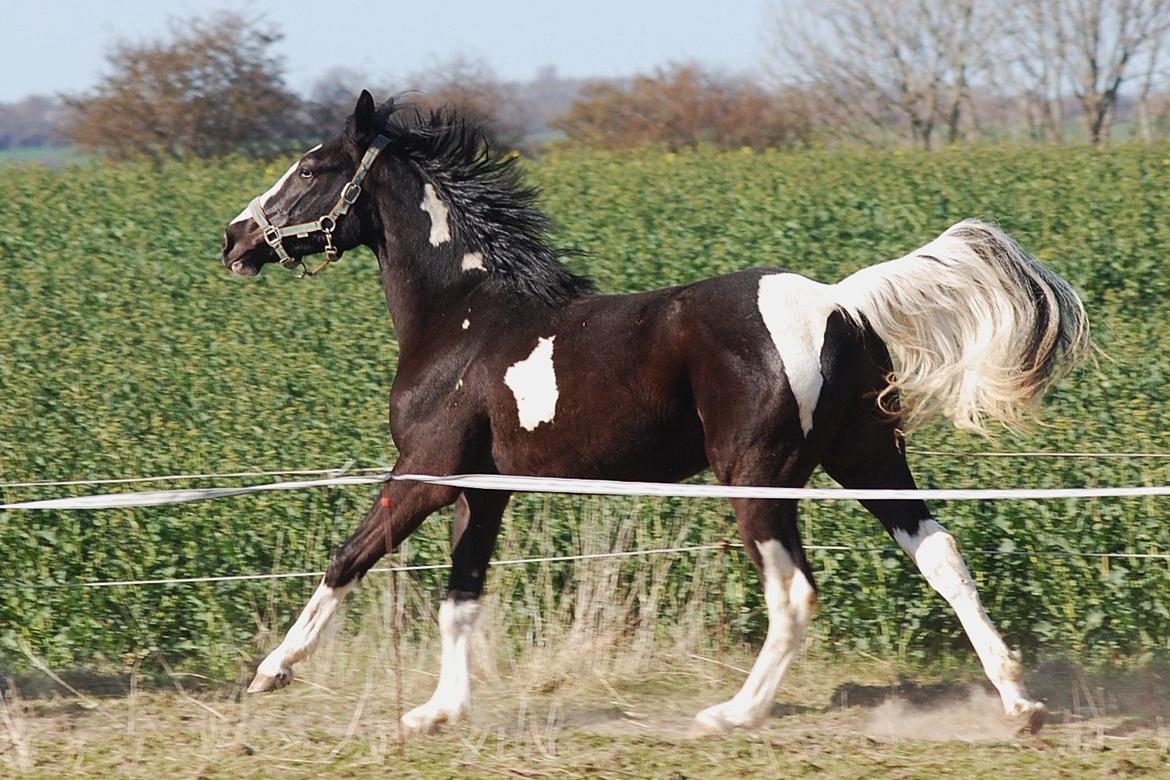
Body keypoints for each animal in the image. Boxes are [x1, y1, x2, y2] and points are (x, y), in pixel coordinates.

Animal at [217, 91, 1085, 739]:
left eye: (311, 167)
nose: (233, 239)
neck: (463, 320)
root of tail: (839, 301)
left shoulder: (424, 474)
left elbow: (346, 560)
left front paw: (269, 673)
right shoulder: (482, 490)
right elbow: (460, 601)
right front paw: (438, 713)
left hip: (758, 478)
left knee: (794, 594)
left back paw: (732, 714)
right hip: (867, 458)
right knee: (942, 556)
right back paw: (1020, 702)